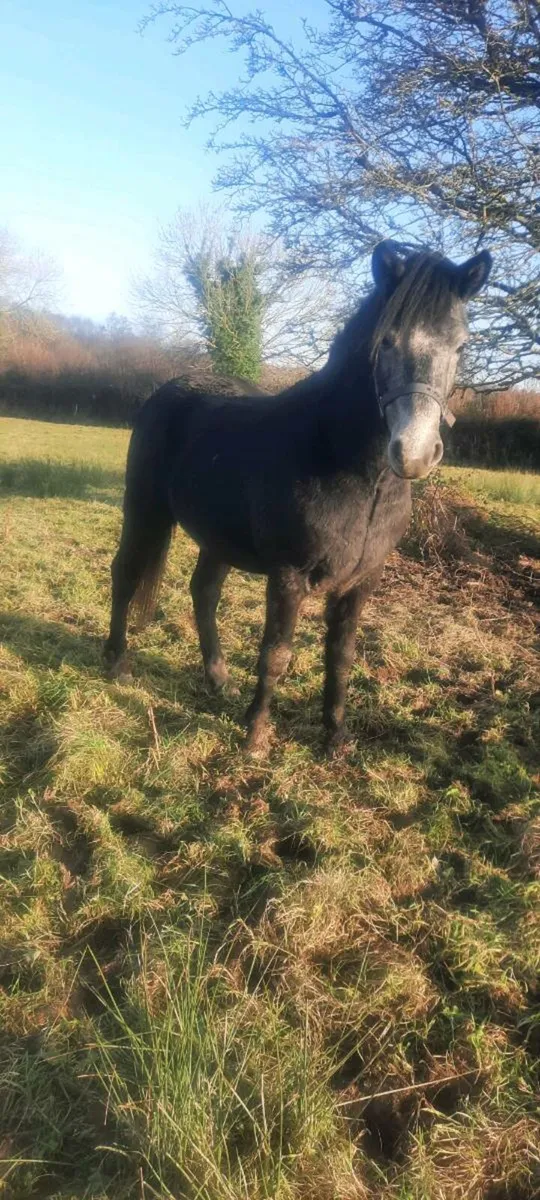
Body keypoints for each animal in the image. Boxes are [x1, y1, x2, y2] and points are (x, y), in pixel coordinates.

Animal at [104, 240, 492, 754]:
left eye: (461, 345)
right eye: (387, 341)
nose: (413, 453)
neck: (358, 477)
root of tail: (169, 390)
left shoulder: (362, 581)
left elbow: (341, 657)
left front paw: (335, 738)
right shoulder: (289, 576)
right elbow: (276, 654)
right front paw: (254, 736)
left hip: (217, 538)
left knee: (203, 593)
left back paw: (218, 679)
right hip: (144, 510)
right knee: (126, 574)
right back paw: (117, 663)